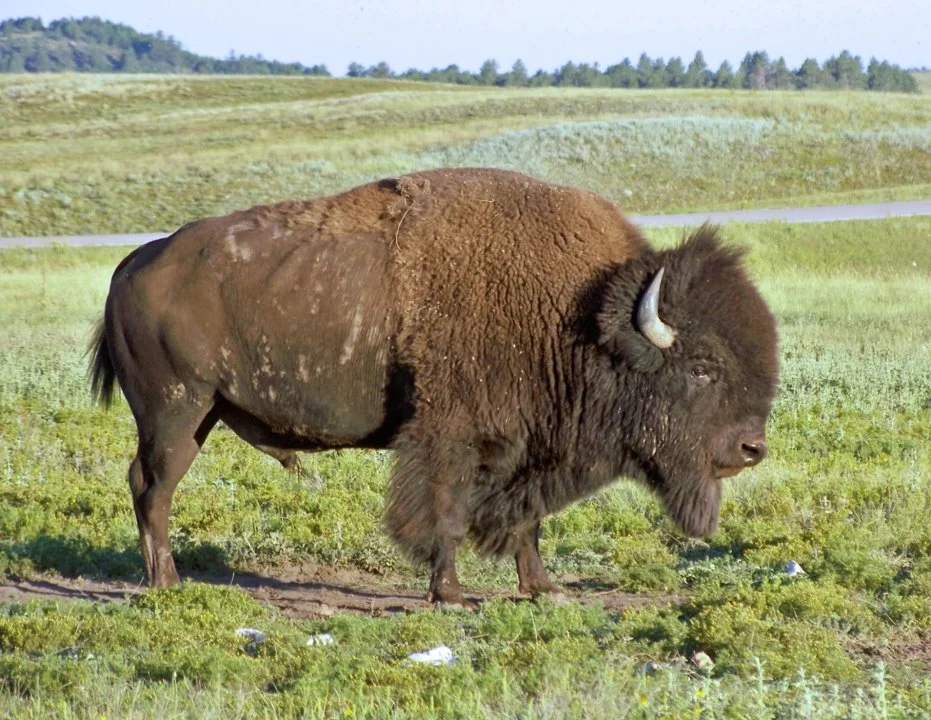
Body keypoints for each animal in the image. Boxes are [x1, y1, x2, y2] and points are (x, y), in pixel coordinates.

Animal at [89, 168, 779, 606]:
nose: (751, 449)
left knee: (146, 486)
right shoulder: (450, 438)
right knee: (152, 488)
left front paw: (544, 589)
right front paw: (451, 594)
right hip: (176, 413)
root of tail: (133, 262)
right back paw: (167, 584)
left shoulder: (526, 451)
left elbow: (525, 522)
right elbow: (445, 513)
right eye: (702, 367)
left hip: (200, 415)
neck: (575, 314)